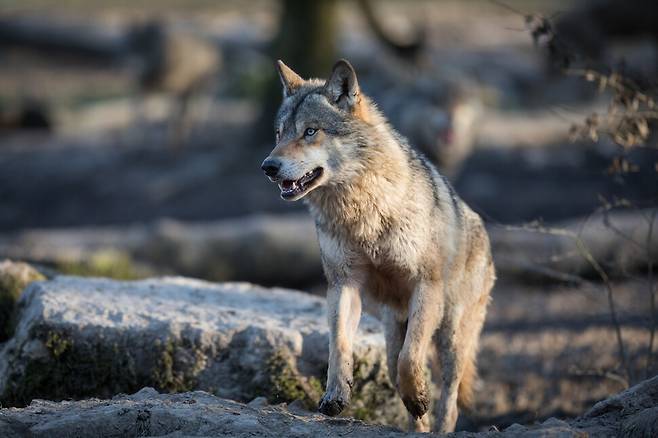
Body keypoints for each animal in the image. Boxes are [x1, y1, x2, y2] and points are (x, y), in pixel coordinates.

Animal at [258, 60, 494, 432]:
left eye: (310, 132)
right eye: (279, 134)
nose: (268, 167)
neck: (363, 210)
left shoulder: (426, 286)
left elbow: (411, 359)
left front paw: (418, 395)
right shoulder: (343, 285)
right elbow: (339, 345)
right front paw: (335, 396)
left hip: (452, 336)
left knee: (448, 399)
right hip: (392, 332)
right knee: (401, 377)